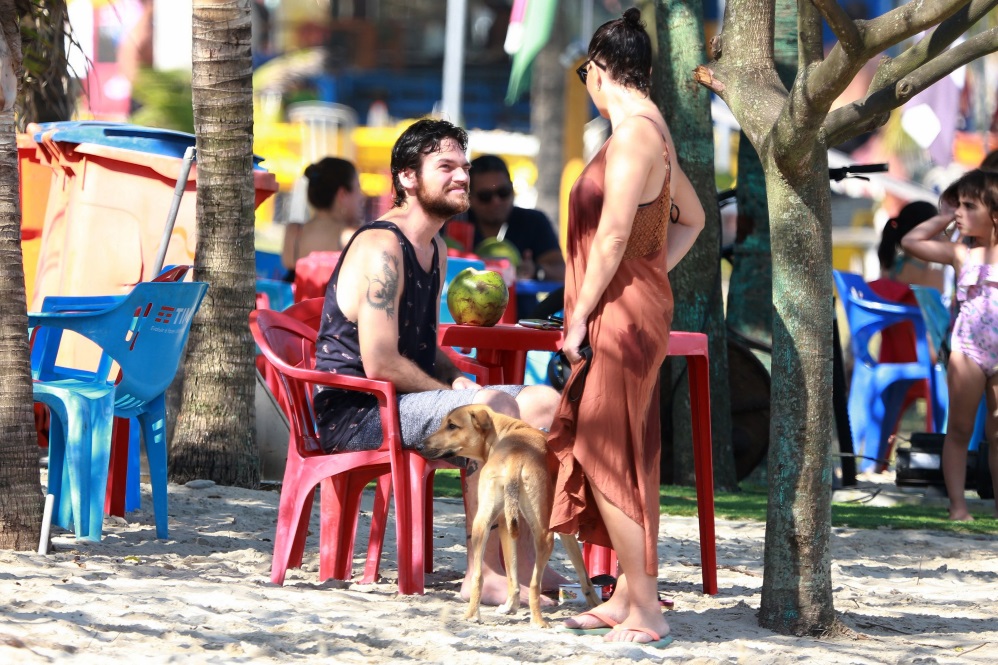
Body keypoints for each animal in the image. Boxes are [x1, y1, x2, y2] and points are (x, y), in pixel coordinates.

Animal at [418, 402, 596, 624]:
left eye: (451, 425)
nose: (419, 446)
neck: (504, 432)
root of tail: (515, 457)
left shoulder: (504, 523)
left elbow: (513, 575)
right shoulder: (562, 530)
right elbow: (583, 573)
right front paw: (596, 604)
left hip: (481, 526)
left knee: (479, 576)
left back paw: (472, 615)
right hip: (542, 532)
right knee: (535, 583)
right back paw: (538, 621)